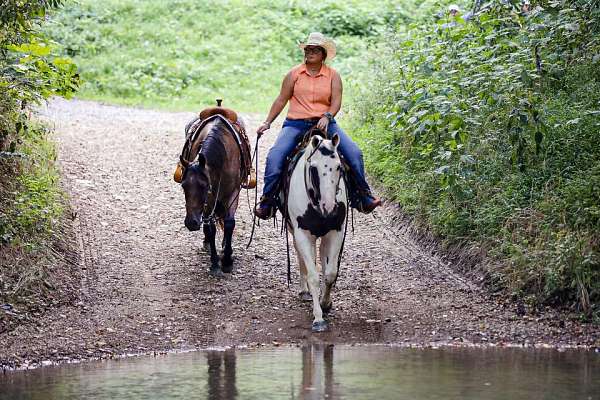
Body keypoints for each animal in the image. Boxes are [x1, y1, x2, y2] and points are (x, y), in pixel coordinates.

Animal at [178, 115, 244, 276]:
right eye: (183, 186)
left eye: (204, 186)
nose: (191, 223)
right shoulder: (210, 200)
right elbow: (210, 228)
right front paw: (214, 263)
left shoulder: (233, 193)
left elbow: (229, 223)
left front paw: (227, 261)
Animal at [284, 133, 346, 332]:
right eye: (313, 168)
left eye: (339, 167)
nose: (330, 207)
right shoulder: (302, 234)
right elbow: (313, 276)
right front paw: (318, 318)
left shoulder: (336, 232)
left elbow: (331, 273)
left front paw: (326, 303)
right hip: (295, 232)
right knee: (301, 258)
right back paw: (304, 291)